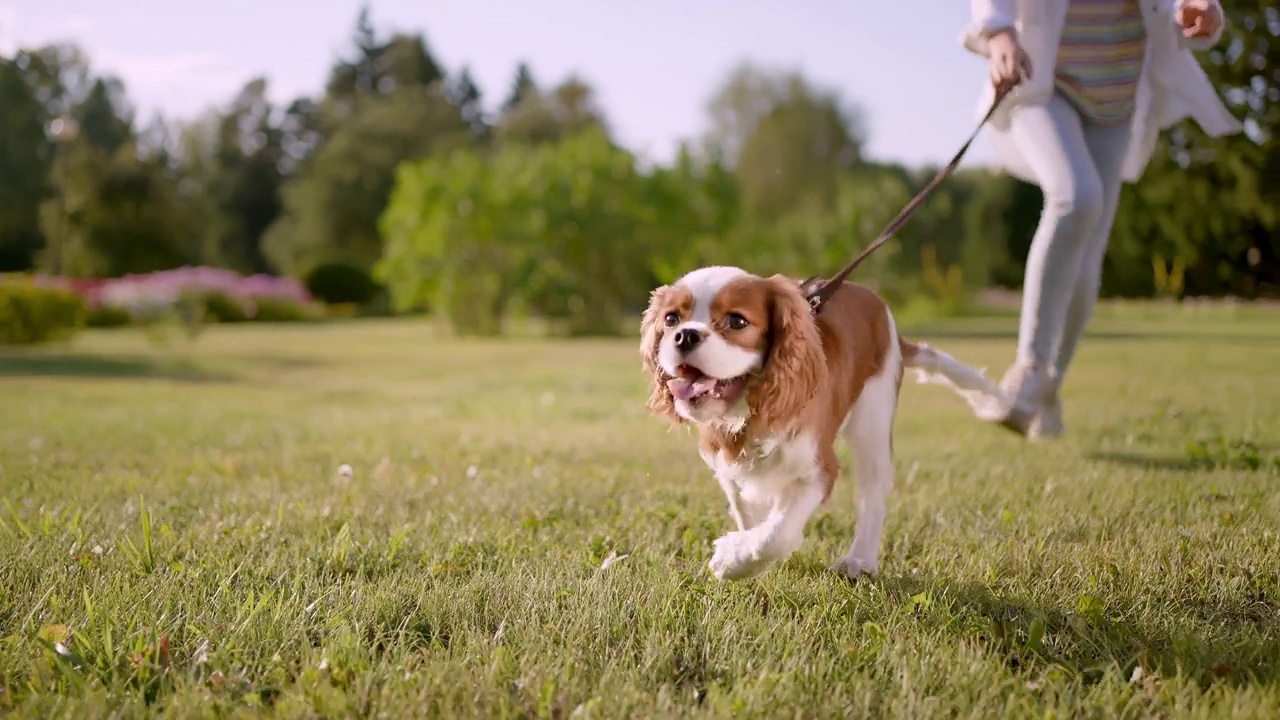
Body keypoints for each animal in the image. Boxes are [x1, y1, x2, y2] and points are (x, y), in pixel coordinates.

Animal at [640, 266, 998, 579]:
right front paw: (745, 554)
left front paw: (731, 559)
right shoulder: (727, 465)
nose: (685, 335)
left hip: (873, 419)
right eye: (671, 319)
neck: (750, 411)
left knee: (873, 492)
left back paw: (860, 561)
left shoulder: (818, 468)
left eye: (736, 321)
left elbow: (776, 535)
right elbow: (750, 515)